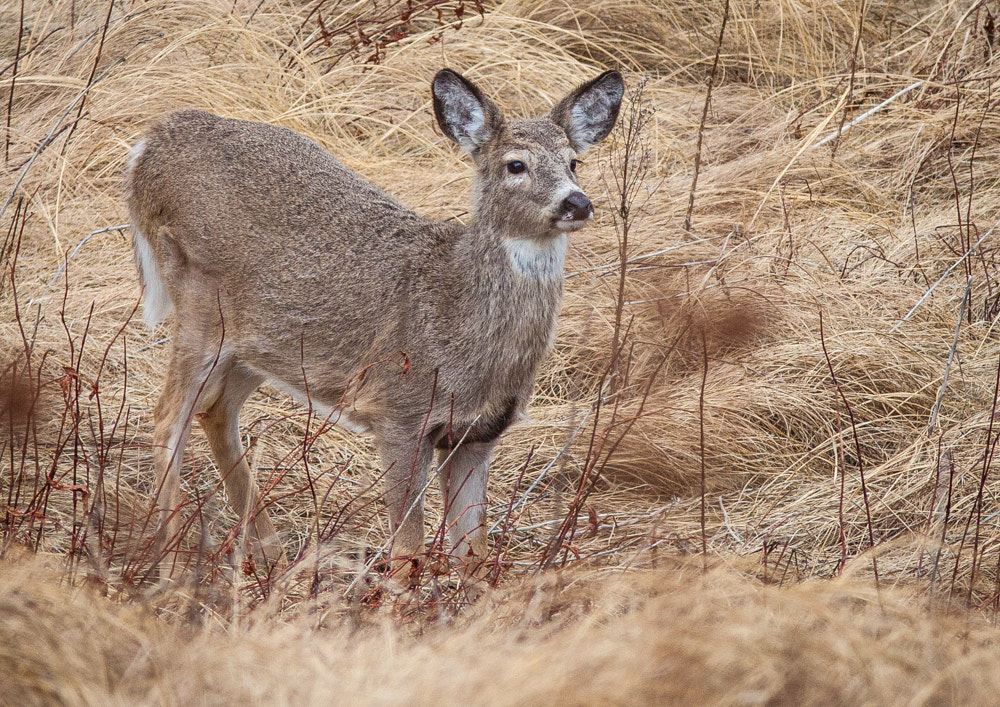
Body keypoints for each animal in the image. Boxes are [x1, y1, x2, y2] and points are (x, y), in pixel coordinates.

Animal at [126, 68, 624, 588]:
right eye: (515, 165)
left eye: (574, 162)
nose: (576, 202)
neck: (457, 320)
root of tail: (150, 143)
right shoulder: (398, 410)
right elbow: (408, 553)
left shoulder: (478, 434)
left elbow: (474, 557)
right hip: (198, 304)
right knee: (168, 417)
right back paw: (173, 571)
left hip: (260, 341)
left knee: (216, 410)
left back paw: (272, 555)